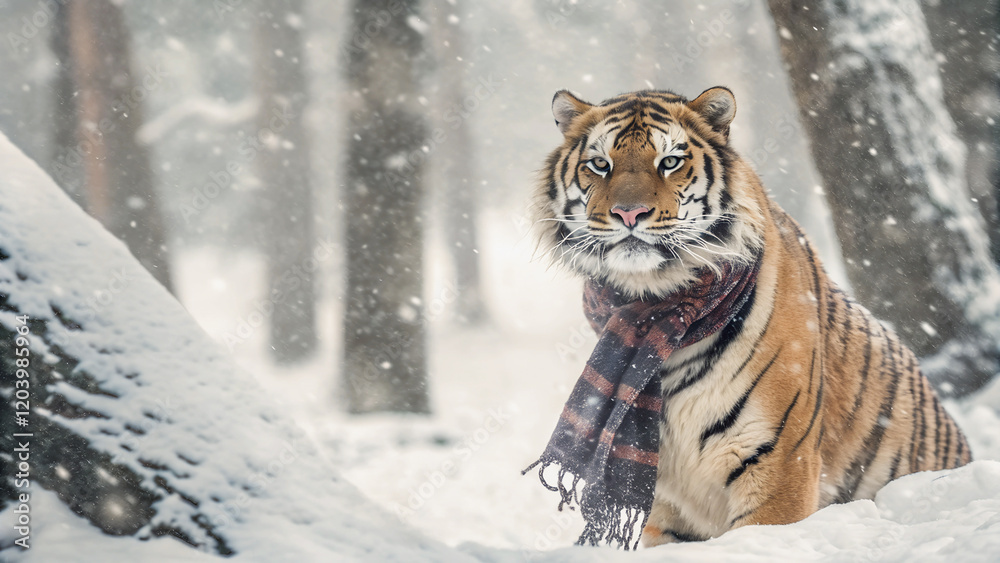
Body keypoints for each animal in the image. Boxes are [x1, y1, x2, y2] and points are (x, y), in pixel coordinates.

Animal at [532, 87, 972, 546]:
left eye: (669, 161)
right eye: (600, 164)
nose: (628, 213)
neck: (654, 301)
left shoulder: (779, 465)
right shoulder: (664, 500)